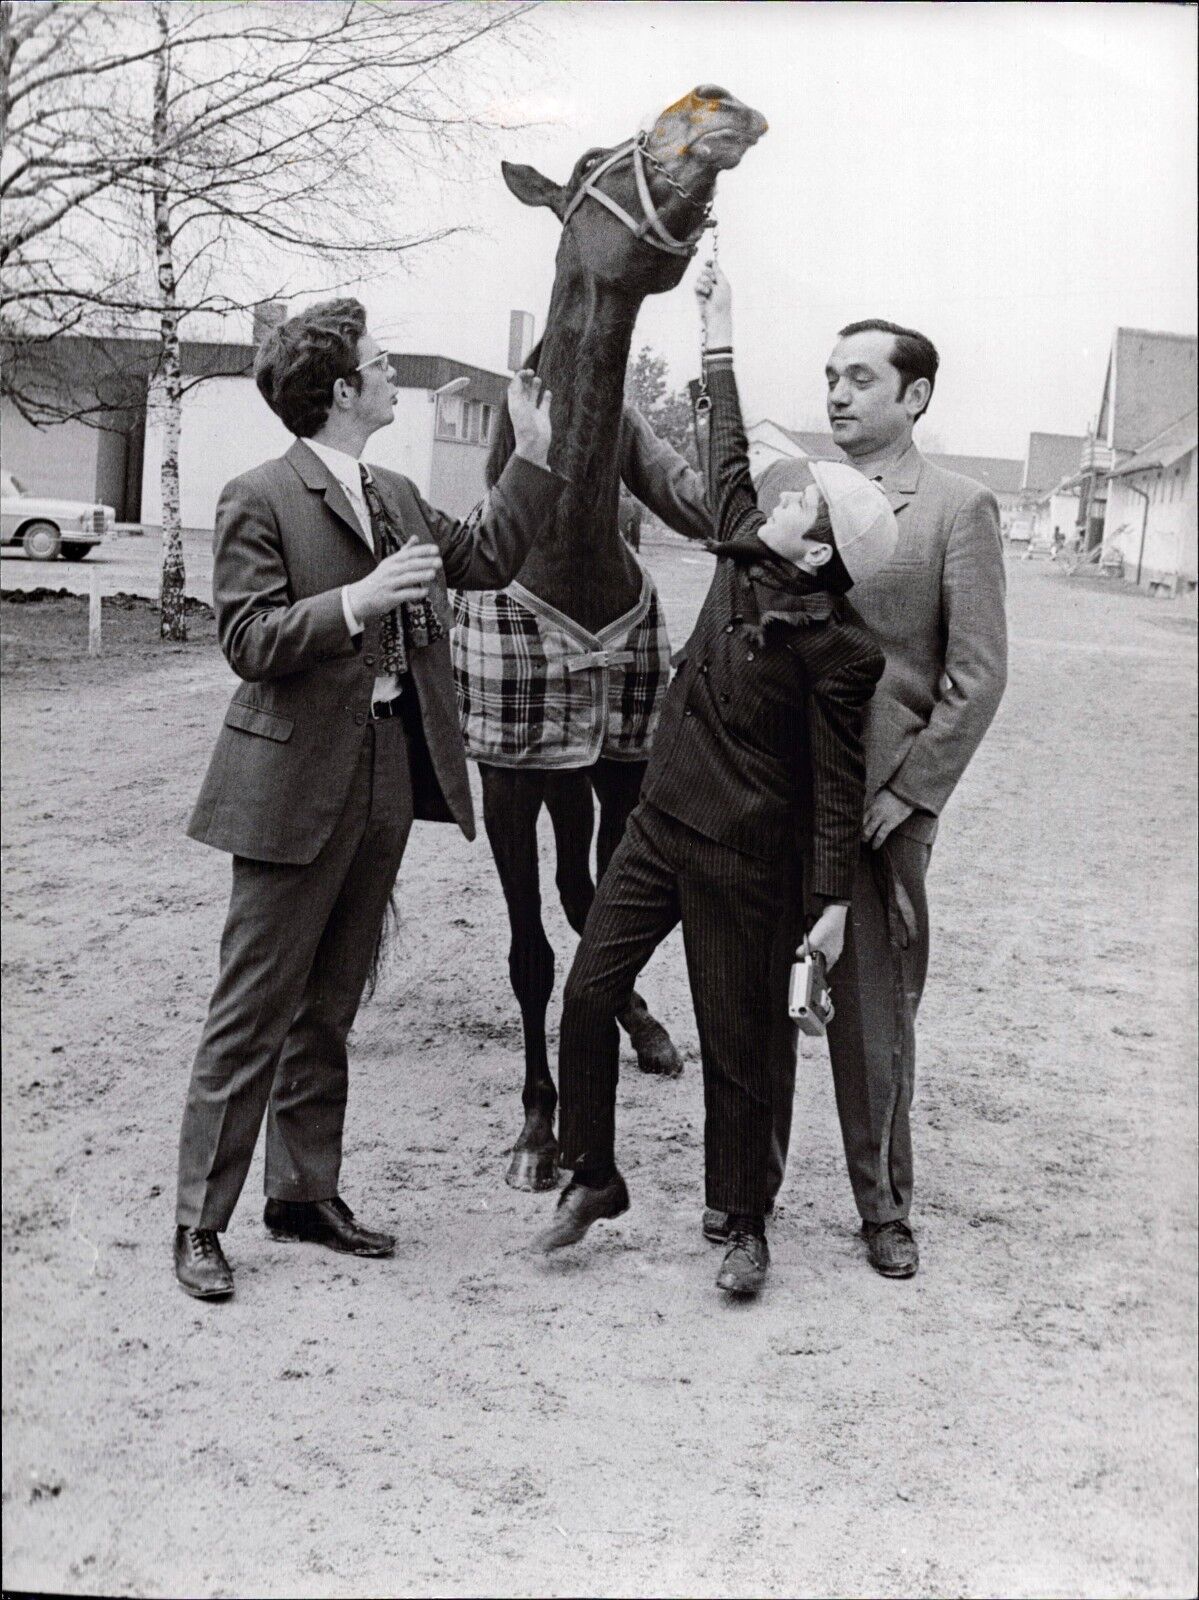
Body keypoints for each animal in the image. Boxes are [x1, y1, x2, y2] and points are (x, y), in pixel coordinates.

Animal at [448, 87, 768, 1190]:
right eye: (591, 162)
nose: (713, 104)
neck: (564, 545)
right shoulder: (511, 778)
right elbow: (531, 952)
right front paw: (537, 1130)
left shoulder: (621, 764)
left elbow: (601, 916)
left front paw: (637, 1033)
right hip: (550, 778)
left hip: (580, 774)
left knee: (582, 887)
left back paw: (646, 1030)